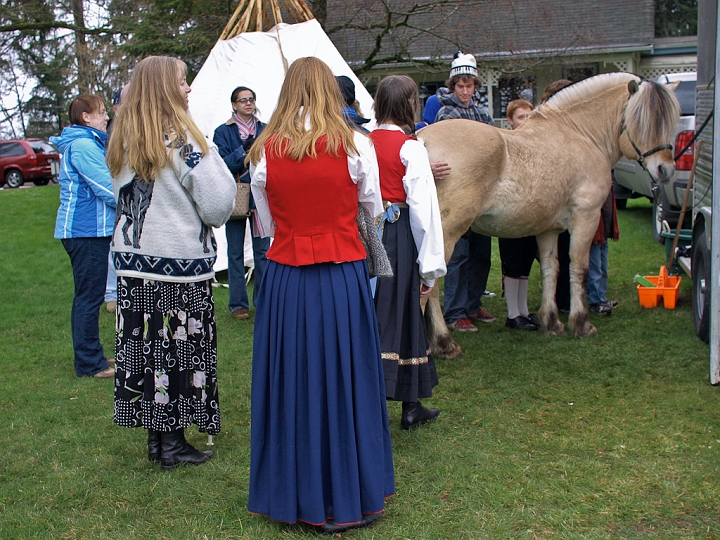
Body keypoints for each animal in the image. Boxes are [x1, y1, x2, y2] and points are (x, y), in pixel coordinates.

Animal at [420, 73, 676, 358]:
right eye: (641, 120)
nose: (665, 169)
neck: (581, 134)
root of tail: (421, 139)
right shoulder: (586, 219)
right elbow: (579, 268)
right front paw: (581, 324)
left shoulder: (548, 230)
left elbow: (551, 269)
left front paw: (551, 322)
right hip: (446, 237)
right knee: (430, 284)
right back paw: (444, 344)